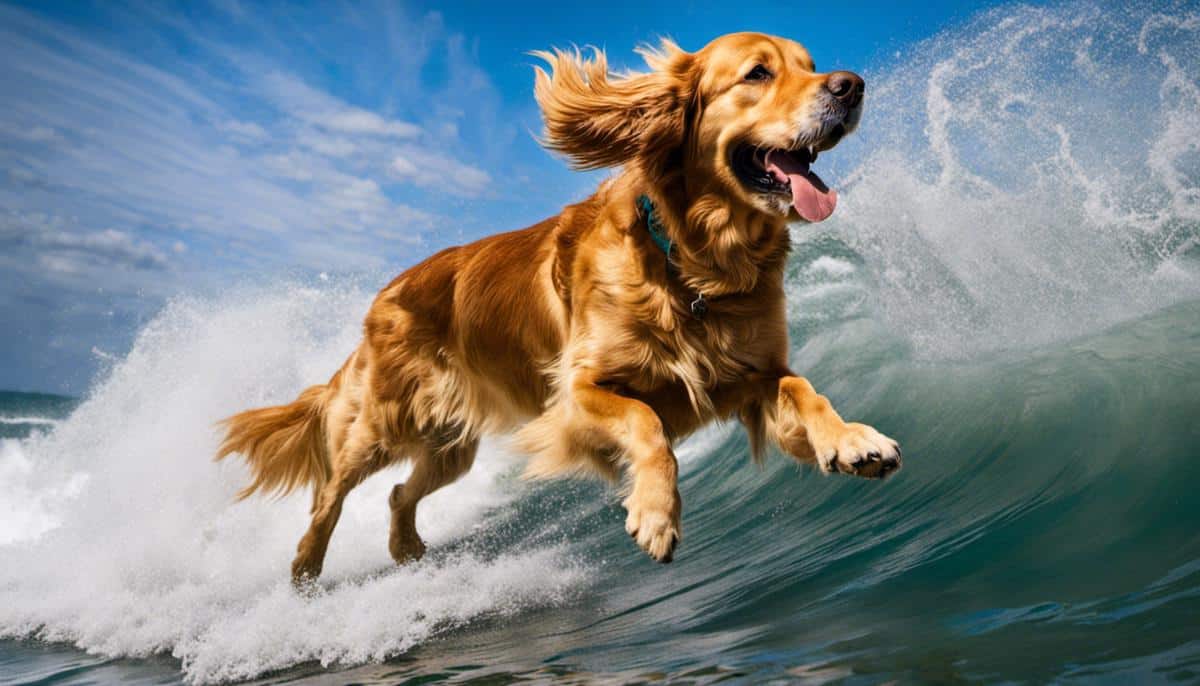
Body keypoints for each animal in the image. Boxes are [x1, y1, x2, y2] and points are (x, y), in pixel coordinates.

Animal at [218, 30, 902, 578]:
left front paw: (852, 439)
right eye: (758, 73)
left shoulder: (754, 376)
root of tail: (380, 299)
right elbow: (648, 425)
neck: (695, 266)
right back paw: (305, 572)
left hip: (450, 447)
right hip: (382, 427)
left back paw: (406, 548)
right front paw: (656, 513)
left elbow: (804, 390)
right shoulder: (576, 395)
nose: (850, 86)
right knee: (328, 495)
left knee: (398, 494)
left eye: (810, 65)